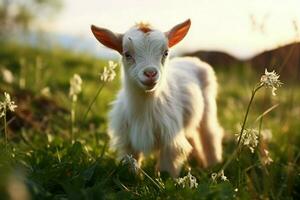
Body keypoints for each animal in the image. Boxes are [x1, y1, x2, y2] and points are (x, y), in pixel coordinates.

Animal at [91, 19, 223, 177]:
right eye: (127, 54)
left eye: (165, 53)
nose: (150, 73)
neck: (145, 108)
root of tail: (192, 59)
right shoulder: (127, 142)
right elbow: (131, 166)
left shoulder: (171, 140)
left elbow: (167, 169)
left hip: (208, 107)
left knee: (209, 134)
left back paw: (213, 164)